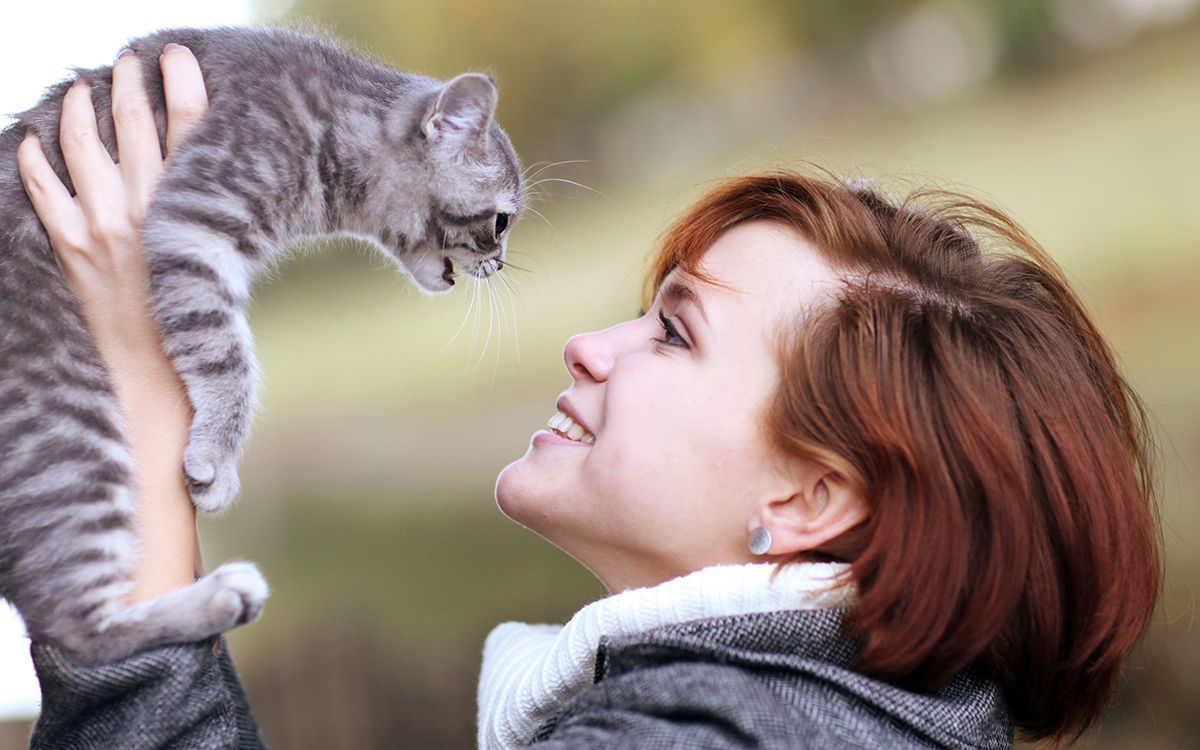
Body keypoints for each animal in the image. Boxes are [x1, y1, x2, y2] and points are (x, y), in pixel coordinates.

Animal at [1, 26, 525, 662]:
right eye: (500, 223)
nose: (501, 264)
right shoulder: (193, 224)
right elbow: (230, 357)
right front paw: (218, 455)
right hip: (66, 431)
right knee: (70, 627)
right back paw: (217, 596)